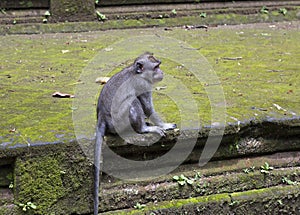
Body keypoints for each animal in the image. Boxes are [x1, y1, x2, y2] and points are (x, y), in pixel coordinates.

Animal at [94, 52, 176, 215]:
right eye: (156, 67)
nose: (161, 72)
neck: (136, 72)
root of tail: (102, 119)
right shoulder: (142, 84)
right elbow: (148, 108)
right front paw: (164, 125)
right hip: (118, 122)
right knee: (133, 101)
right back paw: (143, 129)